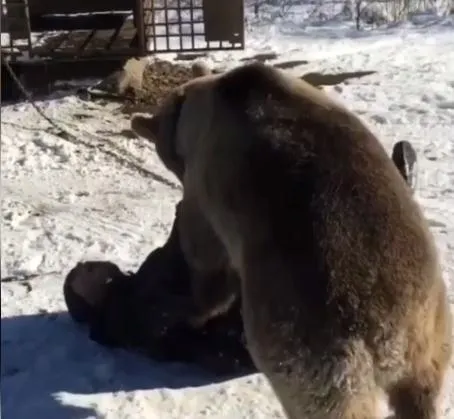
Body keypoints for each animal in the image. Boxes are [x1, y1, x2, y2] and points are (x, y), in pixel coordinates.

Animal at [130, 62, 450, 419]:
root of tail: (387, 336)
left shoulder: (210, 184)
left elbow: (207, 257)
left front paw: (192, 310)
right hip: (430, 331)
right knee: (424, 388)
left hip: (313, 341)